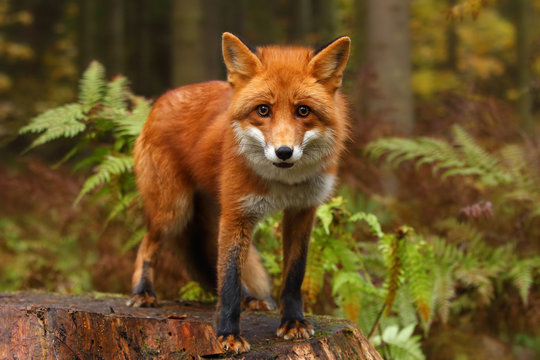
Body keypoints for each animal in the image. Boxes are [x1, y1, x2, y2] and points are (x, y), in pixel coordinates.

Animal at [127, 32, 350, 352]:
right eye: (263, 110)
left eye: (303, 111)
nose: (284, 152)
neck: (282, 183)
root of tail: (163, 99)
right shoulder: (237, 212)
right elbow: (229, 278)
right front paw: (227, 335)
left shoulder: (302, 211)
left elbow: (294, 275)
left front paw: (293, 322)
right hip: (174, 210)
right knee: (147, 245)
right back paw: (142, 291)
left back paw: (251, 298)